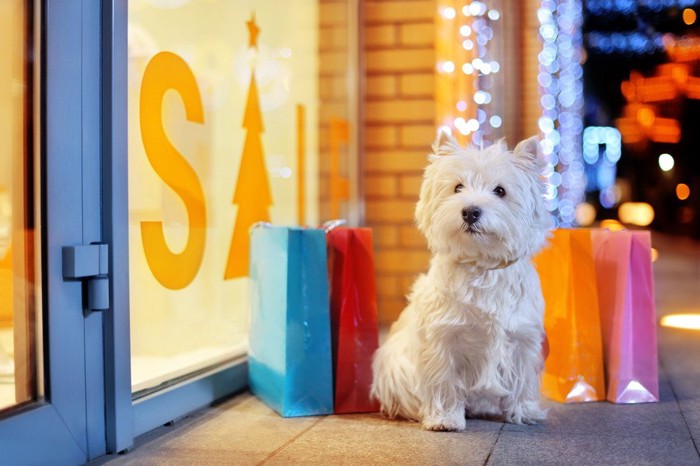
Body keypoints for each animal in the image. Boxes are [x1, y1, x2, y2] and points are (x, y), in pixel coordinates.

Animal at [370, 131, 556, 430]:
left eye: (500, 191)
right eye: (458, 187)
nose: (470, 211)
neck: (482, 265)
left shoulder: (521, 339)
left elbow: (522, 379)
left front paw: (524, 412)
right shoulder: (443, 336)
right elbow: (444, 380)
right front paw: (445, 419)